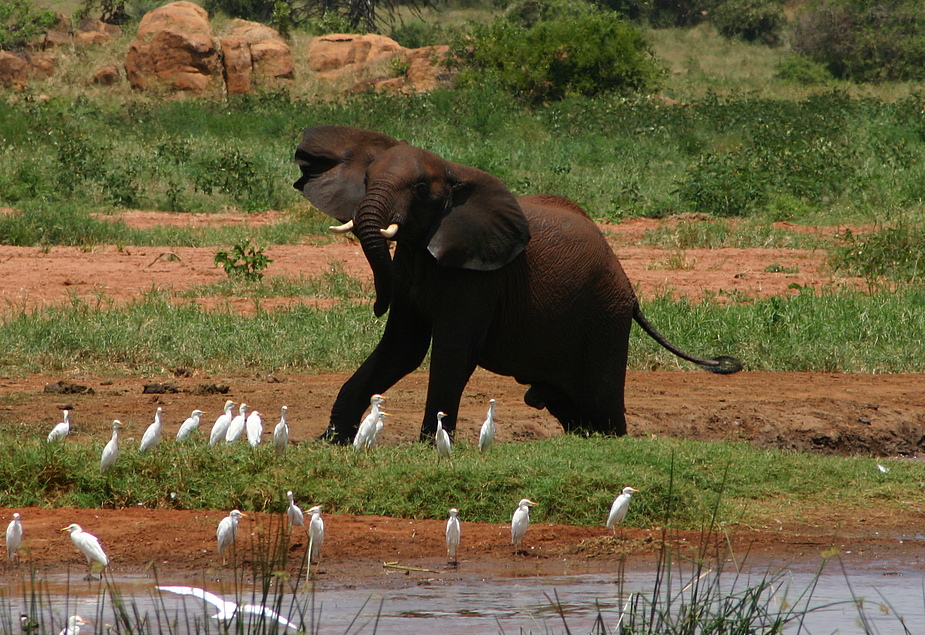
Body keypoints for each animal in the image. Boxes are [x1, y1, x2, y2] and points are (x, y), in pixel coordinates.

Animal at [292, 123, 740, 442]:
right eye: (367, 183)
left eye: (419, 189)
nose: (375, 306)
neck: (454, 173)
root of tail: (630, 290)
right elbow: (402, 347)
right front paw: (329, 440)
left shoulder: (480, 278)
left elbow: (453, 350)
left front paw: (431, 445)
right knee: (570, 405)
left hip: (605, 318)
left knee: (602, 402)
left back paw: (612, 438)